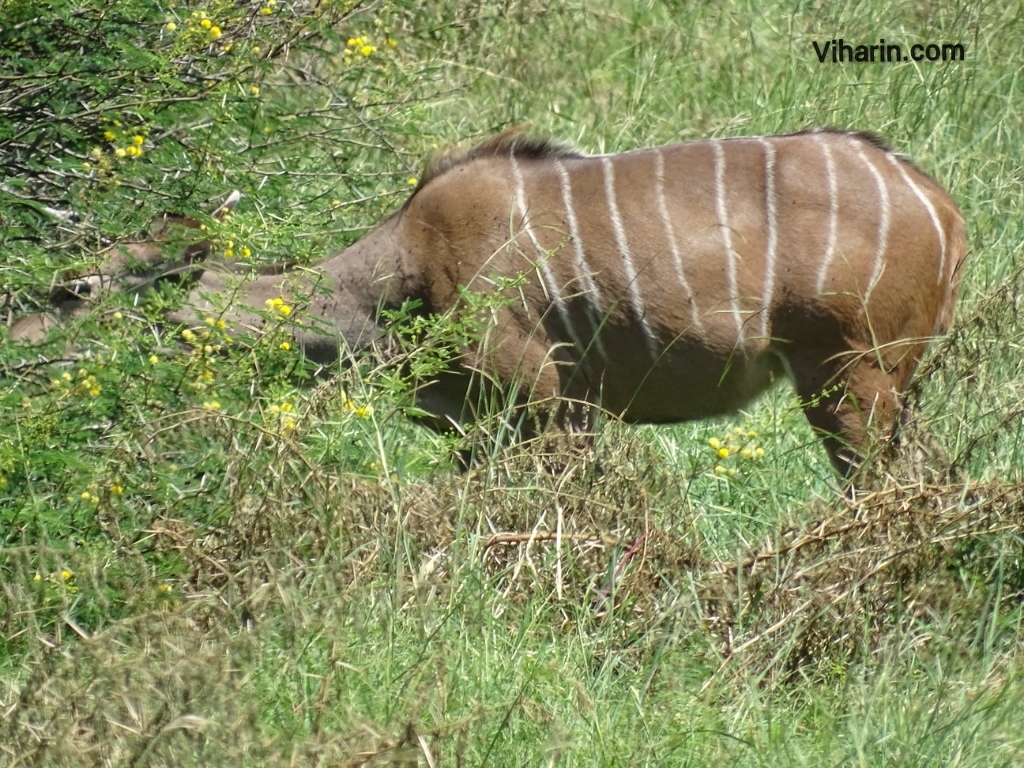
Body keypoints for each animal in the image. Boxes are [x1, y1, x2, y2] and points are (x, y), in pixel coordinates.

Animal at [12, 126, 962, 475]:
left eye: (73, 289)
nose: (15, 343)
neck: (396, 275)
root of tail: (941, 206)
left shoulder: (543, 404)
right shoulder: (491, 425)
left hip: (852, 378)